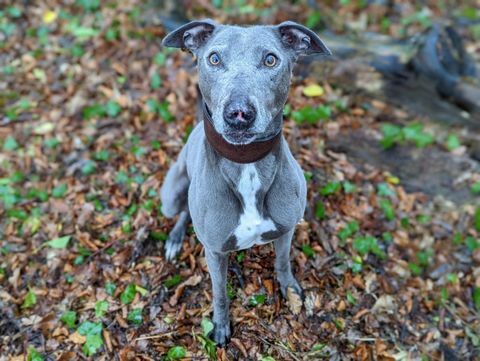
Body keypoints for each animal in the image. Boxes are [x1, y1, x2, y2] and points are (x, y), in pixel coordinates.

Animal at [160, 19, 330, 344]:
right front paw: (221, 325)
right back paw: (175, 239)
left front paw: (290, 290)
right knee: (183, 210)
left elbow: (283, 262)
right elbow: (219, 292)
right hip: (171, 195)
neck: (246, 163)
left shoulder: (287, 230)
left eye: (271, 60)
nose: (239, 114)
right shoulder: (214, 251)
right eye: (214, 58)